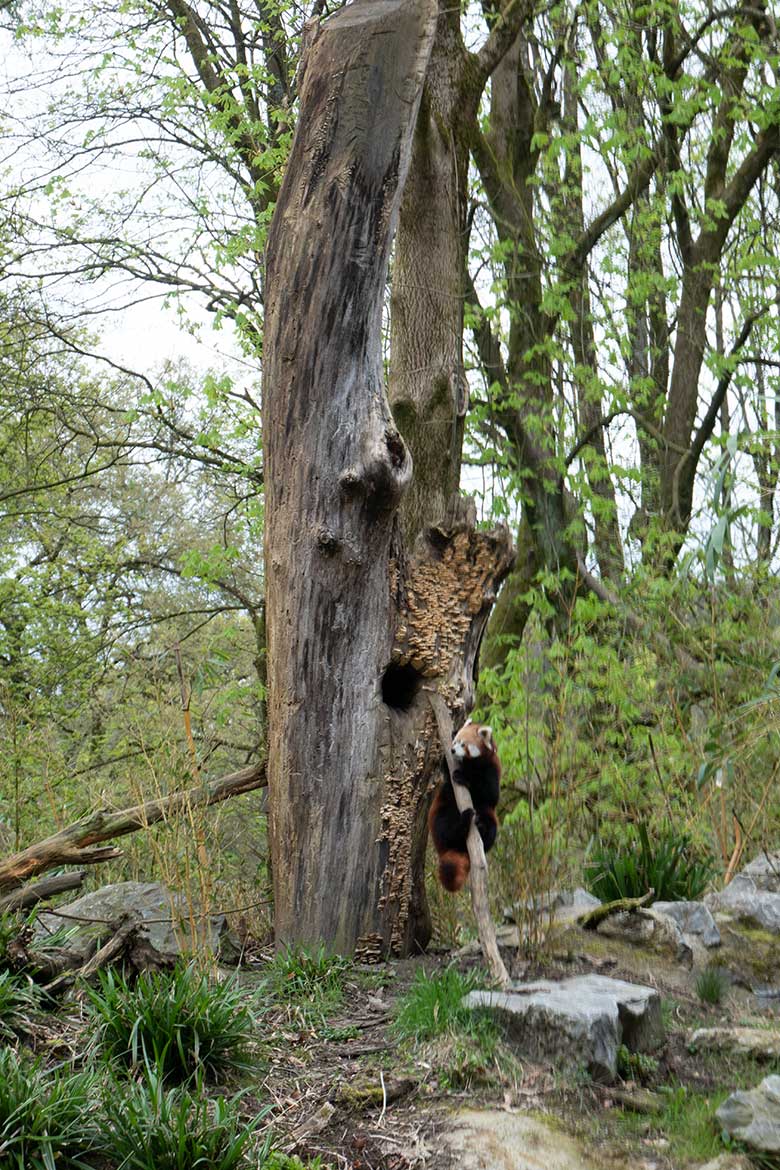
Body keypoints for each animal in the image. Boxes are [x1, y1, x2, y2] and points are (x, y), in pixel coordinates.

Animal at [428, 716, 500, 889]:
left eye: (463, 744)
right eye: (454, 742)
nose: (453, 750)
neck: (471, 764)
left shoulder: (492, 769)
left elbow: (490, 795)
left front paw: (464, 778)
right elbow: (446, 769)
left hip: (489, 816)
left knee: (491, 829)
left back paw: (481, 826)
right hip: (441, 810)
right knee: (444, 826)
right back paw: (463, 822)